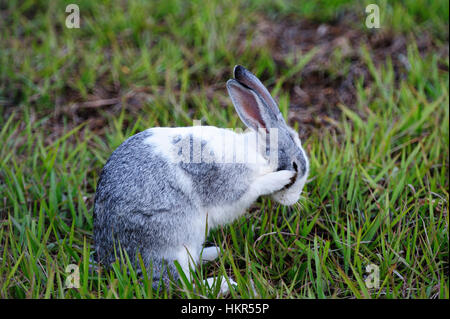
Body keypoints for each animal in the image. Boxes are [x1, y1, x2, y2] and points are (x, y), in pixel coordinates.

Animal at [92, 65, 308, 296]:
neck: (259, 153)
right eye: (295, 166)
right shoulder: (228, 185)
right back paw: (224, 284)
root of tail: (113, 262)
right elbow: (252, 187)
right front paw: (281, 177)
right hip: (173, 247)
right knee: (180, 285)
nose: (294, 200)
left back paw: (214, 252)